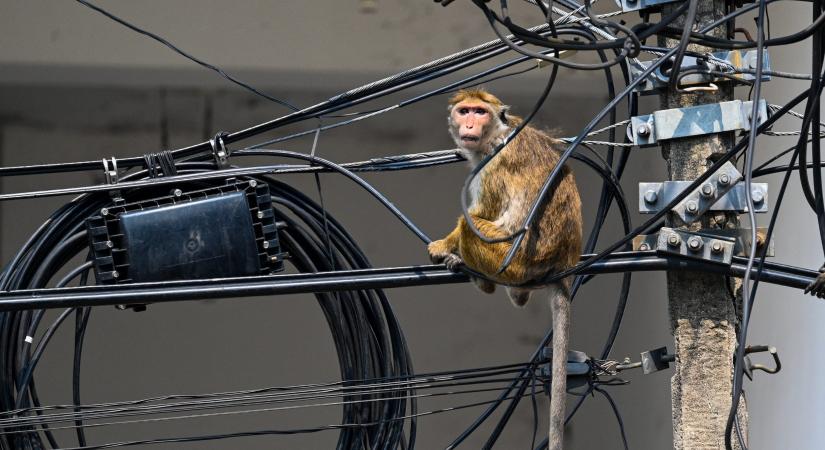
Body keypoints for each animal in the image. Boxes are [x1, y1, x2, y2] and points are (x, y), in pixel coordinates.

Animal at [428, 88, 584, 450]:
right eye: (465, 111)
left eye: (480, 112)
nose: (470, 123)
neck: (497, 132)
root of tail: (562, 260)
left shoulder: (493, 164)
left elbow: (479, 215)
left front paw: (444, 245)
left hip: (510, 262)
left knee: (472, 226)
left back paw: (480, 279)